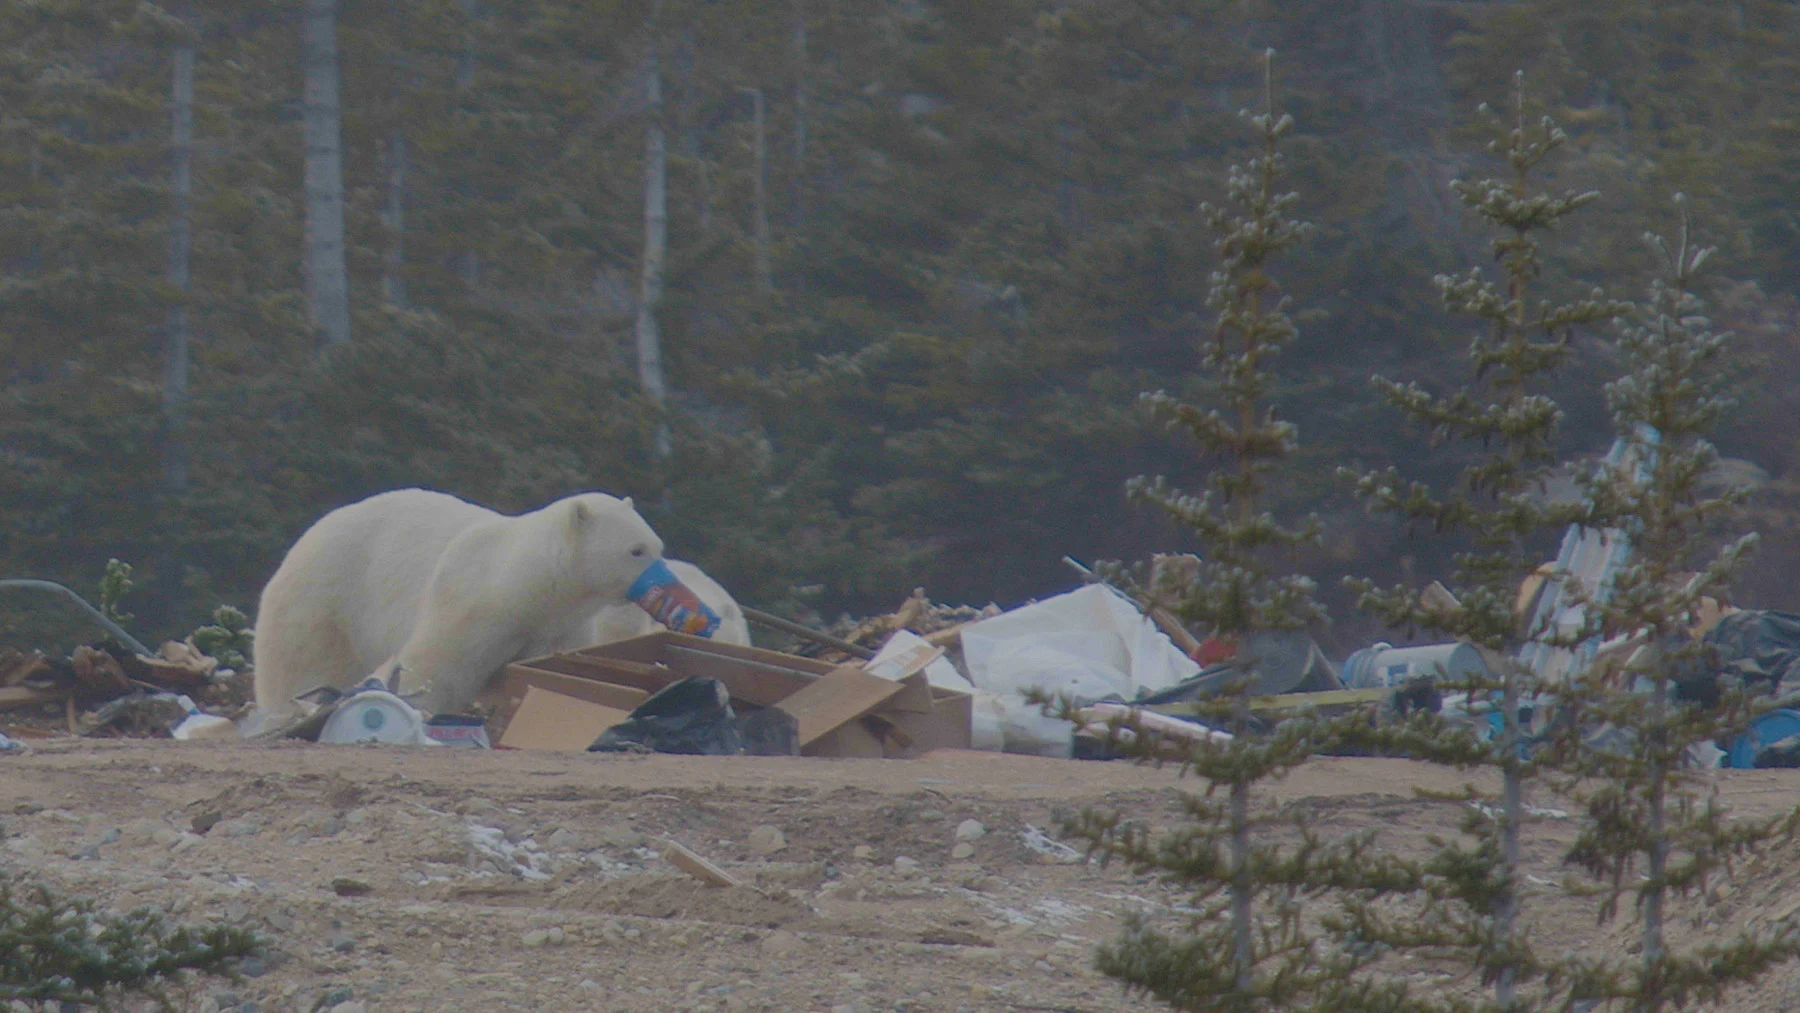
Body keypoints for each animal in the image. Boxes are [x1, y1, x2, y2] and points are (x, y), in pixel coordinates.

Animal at [253, 489, 669, 712]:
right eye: (636, 550)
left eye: (658, 545)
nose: (666, 582)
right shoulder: (471, 603)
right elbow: (435, 664)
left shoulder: (559, 627)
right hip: (326, 599)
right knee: (305, 662)